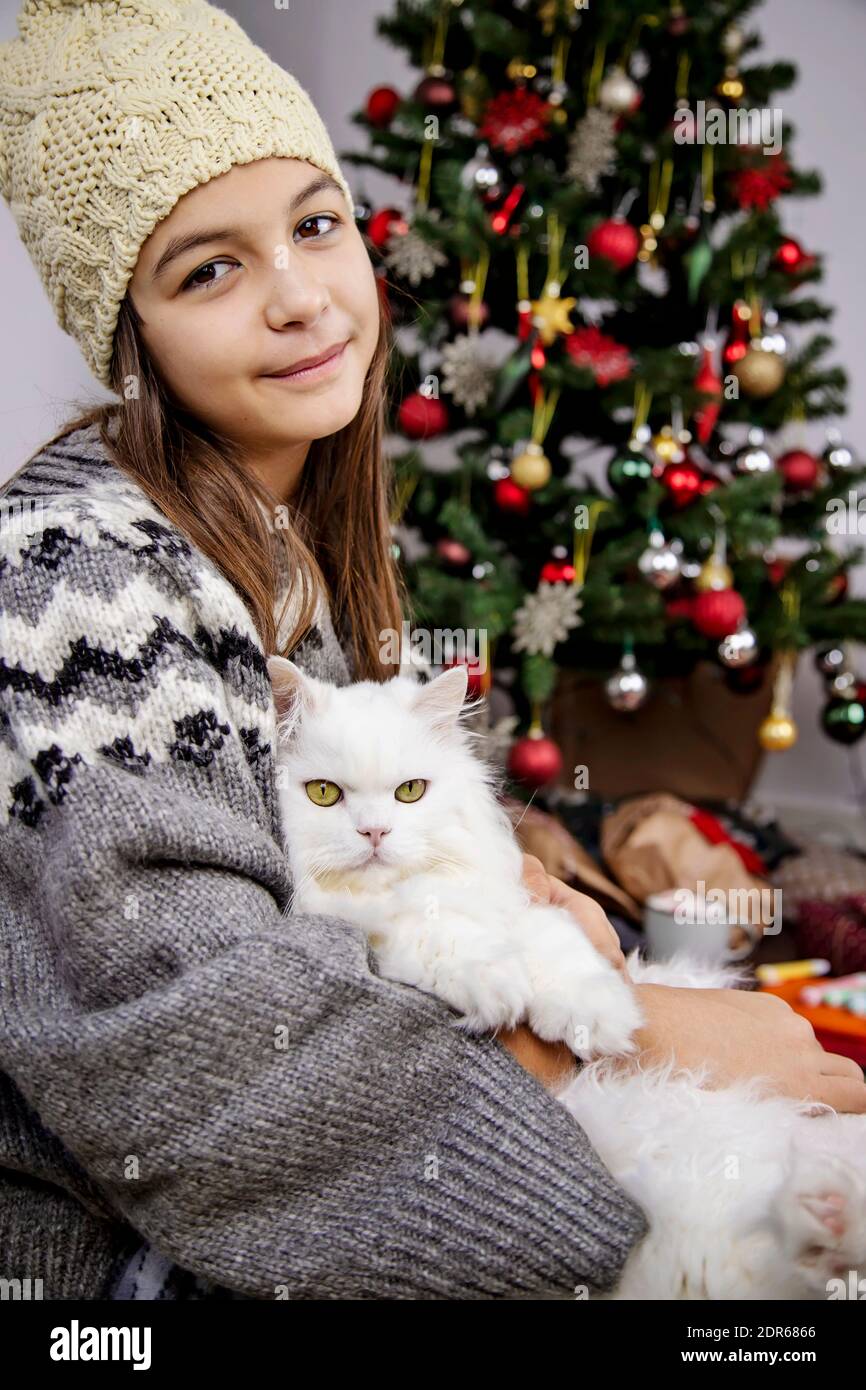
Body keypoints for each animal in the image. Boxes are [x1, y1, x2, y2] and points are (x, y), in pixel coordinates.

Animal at [269, 656, 866, 1295]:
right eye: (324, 795)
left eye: (411, 793)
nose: (375, 834)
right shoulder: (375, 928)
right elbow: (448, 940)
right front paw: (499, 989)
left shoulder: (522, 907)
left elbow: (559, 952)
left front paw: (595, 1019)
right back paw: (824, 1220)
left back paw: (828, 1219)